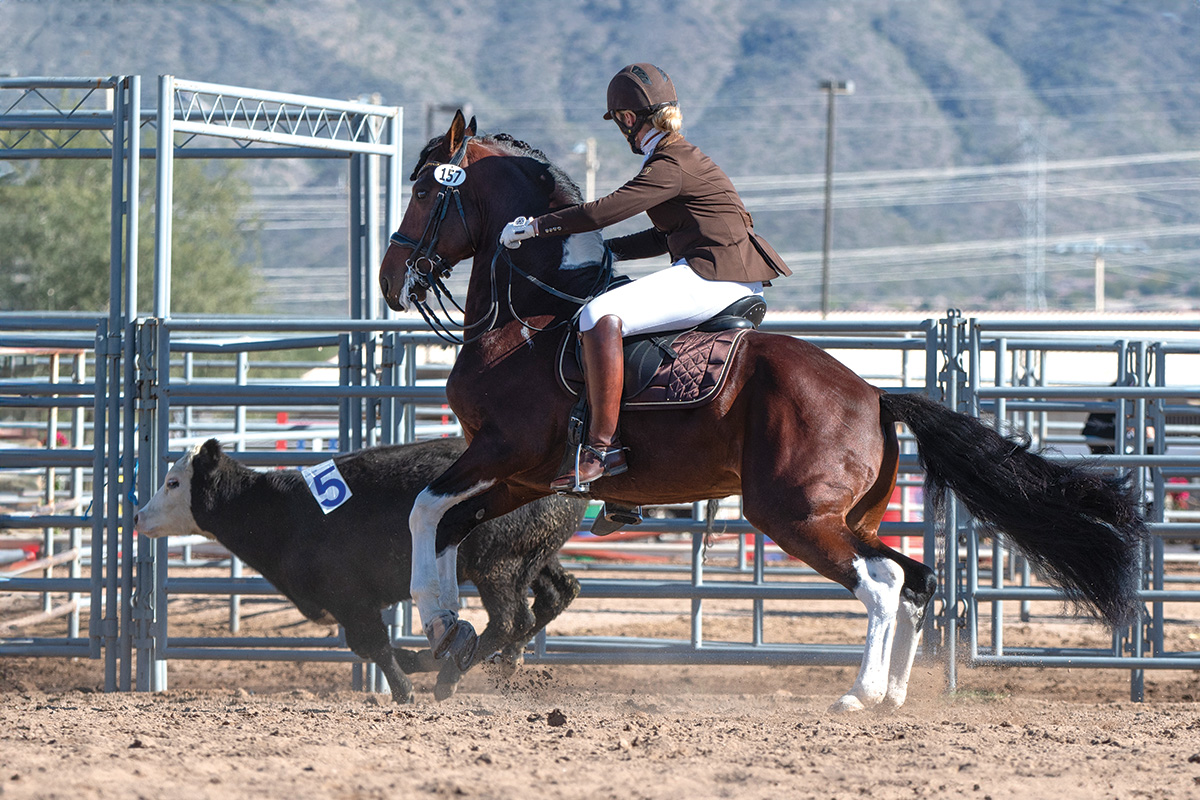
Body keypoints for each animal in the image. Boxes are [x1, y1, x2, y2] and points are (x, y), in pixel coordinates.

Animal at [134, 437, 587, 703]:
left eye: (173, 483)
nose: (138, 516)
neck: (283, 510)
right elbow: (370, 646)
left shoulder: (349, 597)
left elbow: (374, 644)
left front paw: (404, 691)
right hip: (534, 555)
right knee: (557, 594)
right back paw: (497, 660)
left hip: (497, 564)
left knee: (512, 617)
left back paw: (446, 677)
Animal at [378, 110, 1148, 712]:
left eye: (424, 189)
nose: (390, 281)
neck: (532, 316)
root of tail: (874, 397)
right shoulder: (522, 475)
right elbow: (445, 527)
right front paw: (446, 631)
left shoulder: (502, 453)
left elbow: (421, 509)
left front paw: (440, 625)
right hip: (846, 517)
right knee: (916, 580)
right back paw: (895, 693)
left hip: (792, 514)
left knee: (883, 584)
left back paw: (860, 694)